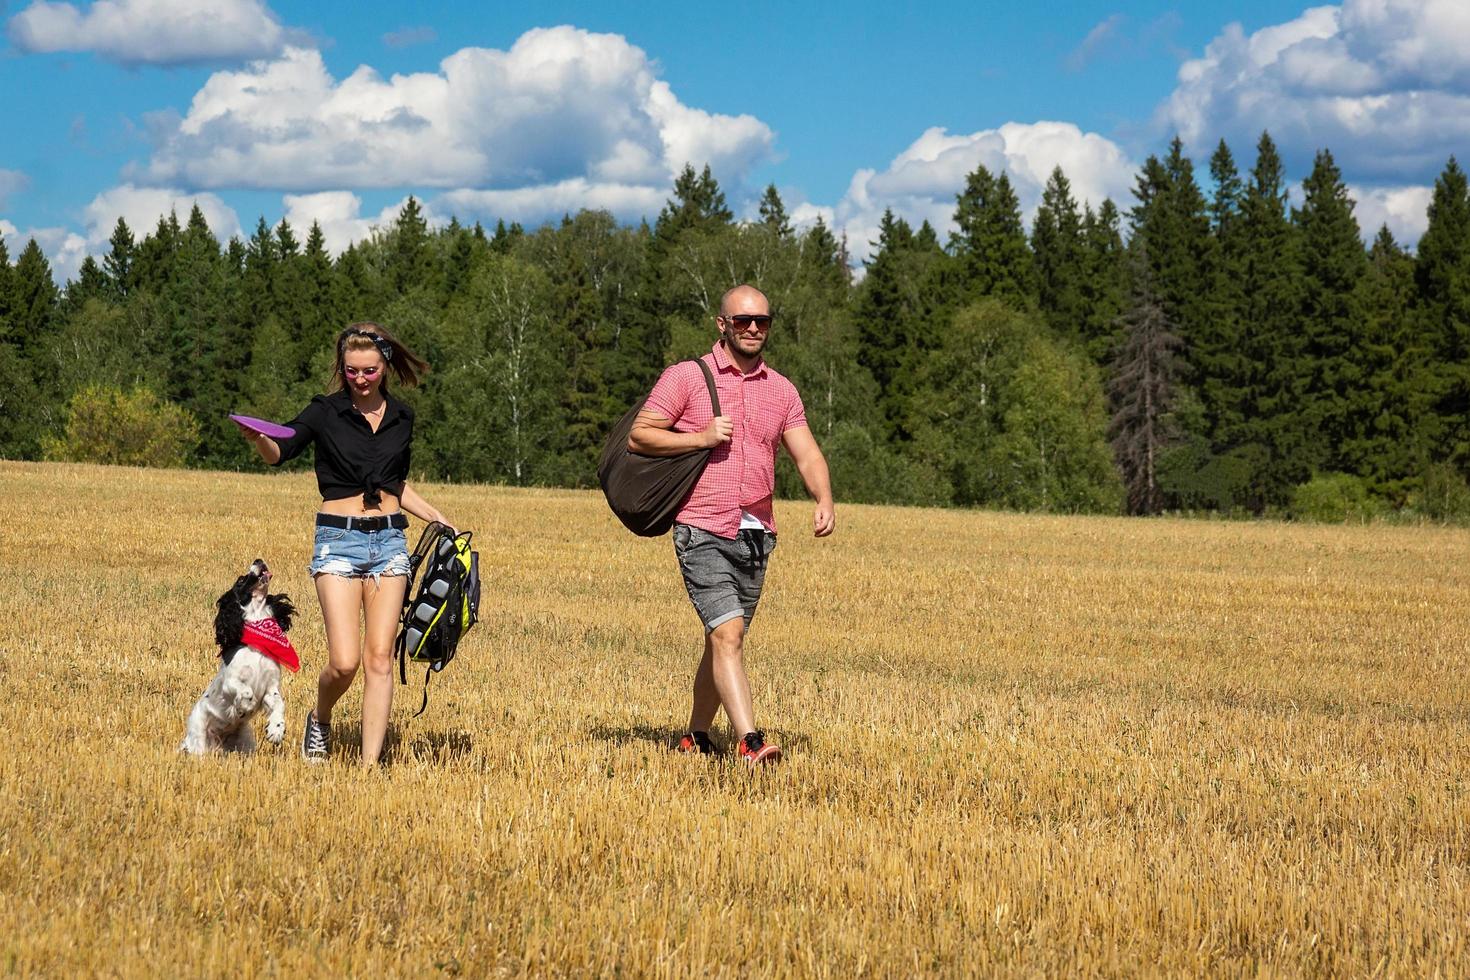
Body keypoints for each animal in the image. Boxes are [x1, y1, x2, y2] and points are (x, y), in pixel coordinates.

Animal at [180, 558, 298, 758]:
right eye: (241, 581)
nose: (258, 559)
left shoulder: (271, 687)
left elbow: (278, 703)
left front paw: (276, 730)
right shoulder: (230, 681)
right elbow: (246, 692)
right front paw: (245, 707)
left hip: (245, 743)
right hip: (198, 737)